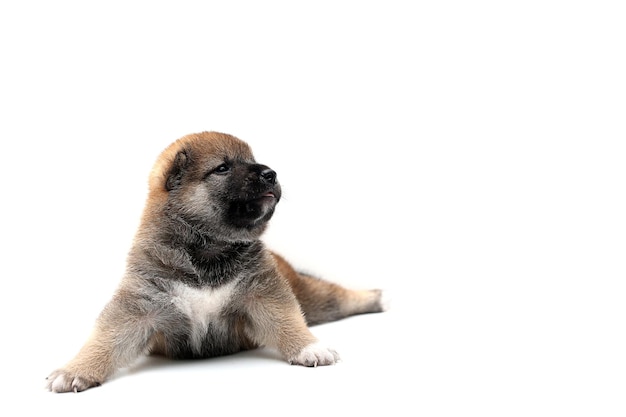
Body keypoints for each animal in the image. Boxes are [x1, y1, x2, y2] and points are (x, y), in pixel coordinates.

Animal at [46, 132, 386, 392]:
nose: (271, 173)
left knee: (336, 297)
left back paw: (375, 298)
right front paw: (75, 370)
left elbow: (287, 321)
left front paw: (309, 347)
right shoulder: (139, 306)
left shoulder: (263, 293)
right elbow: (105, 339)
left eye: (251, 160)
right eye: (222, 168)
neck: (208, 249)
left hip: (311, 297)